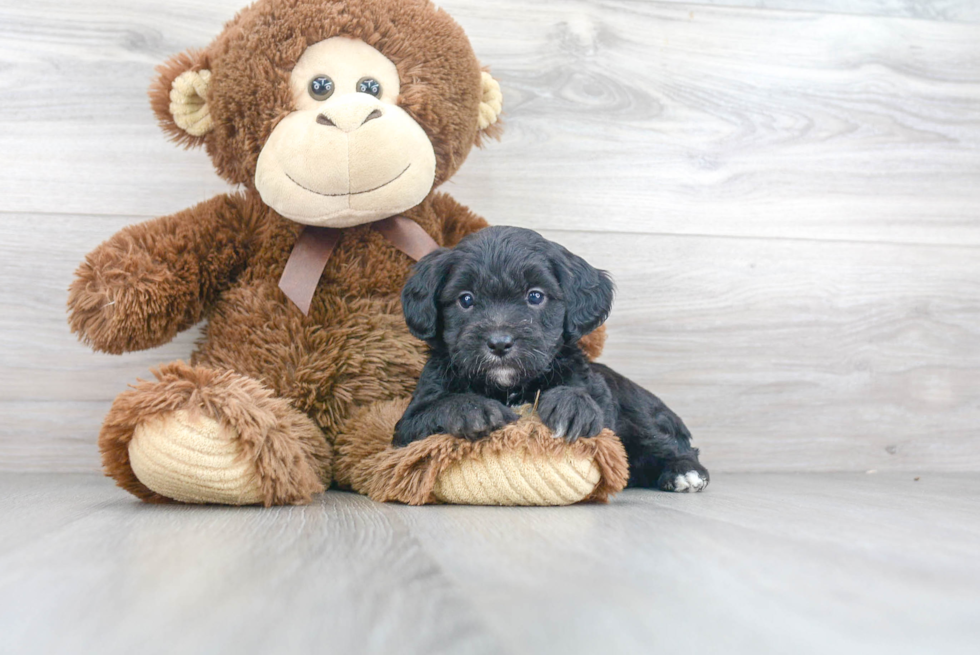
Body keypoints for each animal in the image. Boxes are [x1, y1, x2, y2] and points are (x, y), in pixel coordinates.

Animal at [394, 227, 708, 492]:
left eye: (535, 296)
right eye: (466, 299)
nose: (499, 343)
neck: (509, 387)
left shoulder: (597, 396)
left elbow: (588, 400)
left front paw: (572, 407)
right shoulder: (406, 428)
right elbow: (432, 411)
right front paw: (470, 408)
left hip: (638, 414)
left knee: (668, 443)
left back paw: (684, 471)